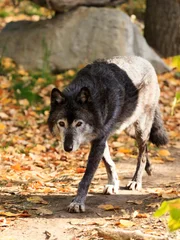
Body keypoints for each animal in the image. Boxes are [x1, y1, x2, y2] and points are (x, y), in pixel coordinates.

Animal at [47, 57, 167, 213]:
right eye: (61, 123)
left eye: (79, 123)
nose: (68, 147)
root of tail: (146, 61)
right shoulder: (100, 138)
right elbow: (108, 162)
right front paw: (113, 183)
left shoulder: (99, 139)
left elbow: (87, 177)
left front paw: (78, 202)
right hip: (129, 129)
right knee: (145, 148)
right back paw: (149, 168)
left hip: (140, 129)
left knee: (141, 154)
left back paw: (136, 181)